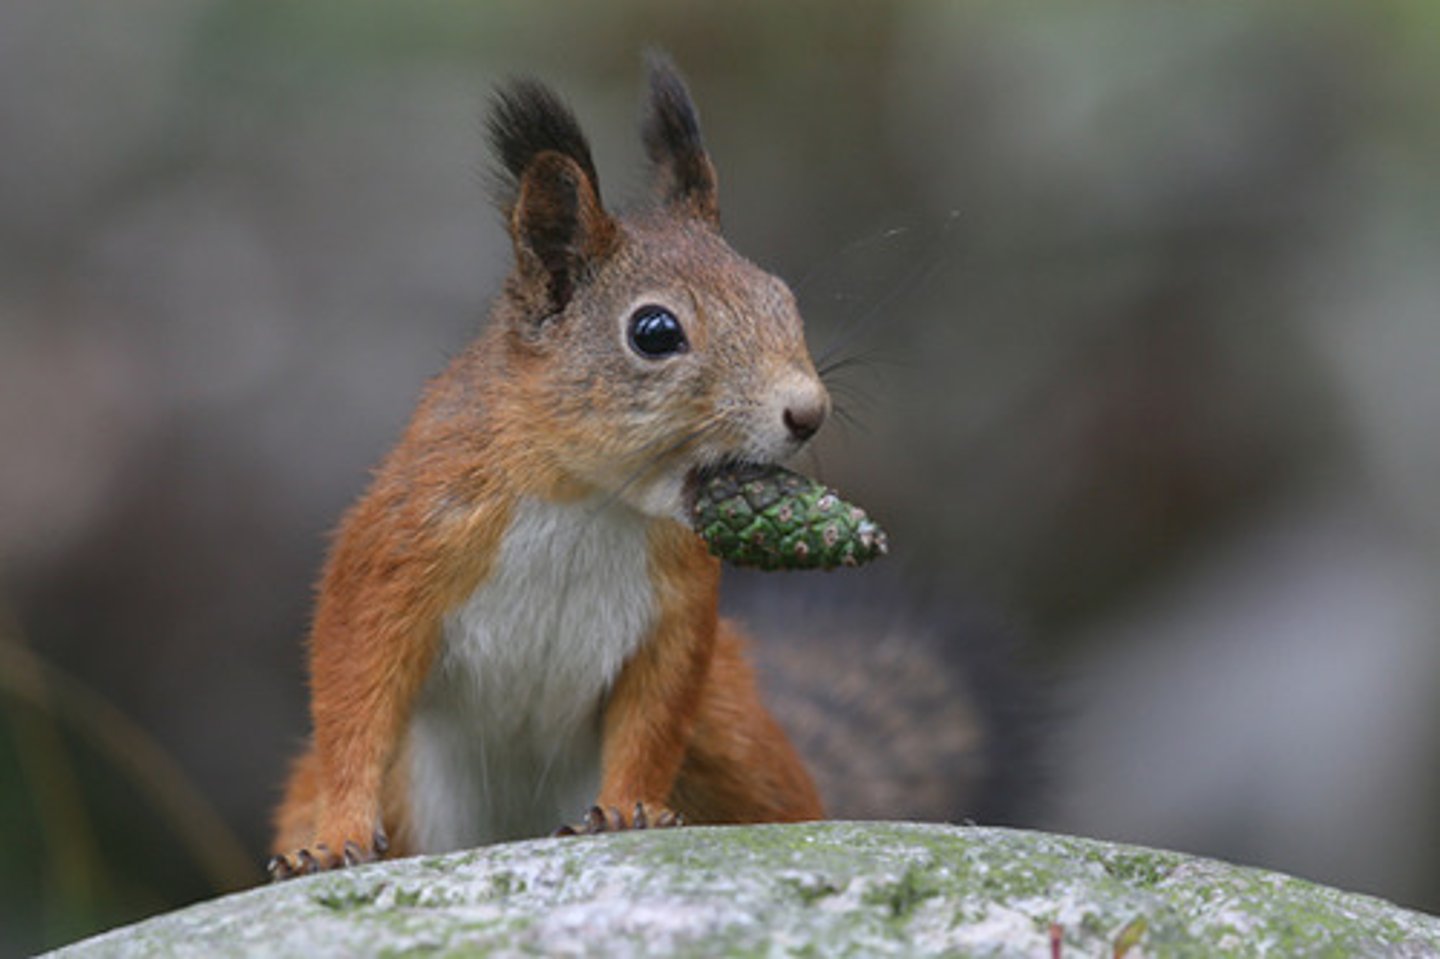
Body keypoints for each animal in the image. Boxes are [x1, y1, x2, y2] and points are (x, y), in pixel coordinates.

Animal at [268, 55, 835, 878]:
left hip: (737, 738)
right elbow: (354, 688)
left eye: (782, 297)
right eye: (654, 331)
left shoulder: (678, 604)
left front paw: (629, 810)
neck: (590, 498)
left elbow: (655, 714)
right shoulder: (402, 543)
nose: (808, 411)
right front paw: (334, 836)